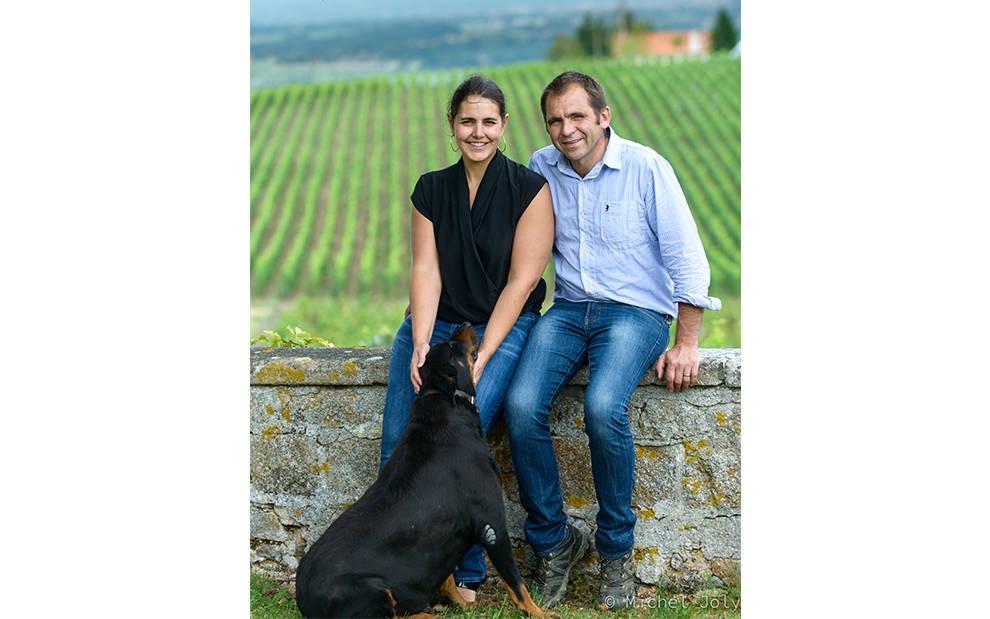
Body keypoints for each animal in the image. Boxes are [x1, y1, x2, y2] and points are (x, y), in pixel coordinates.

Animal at [294, 324, 560, 619]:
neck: (442, 399)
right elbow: (516, 582)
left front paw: (464, 605)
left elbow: (448, 579)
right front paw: (539, 613)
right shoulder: (492, 524)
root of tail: (303, 601)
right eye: (451, 346)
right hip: (371, 588)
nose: (466, 323)